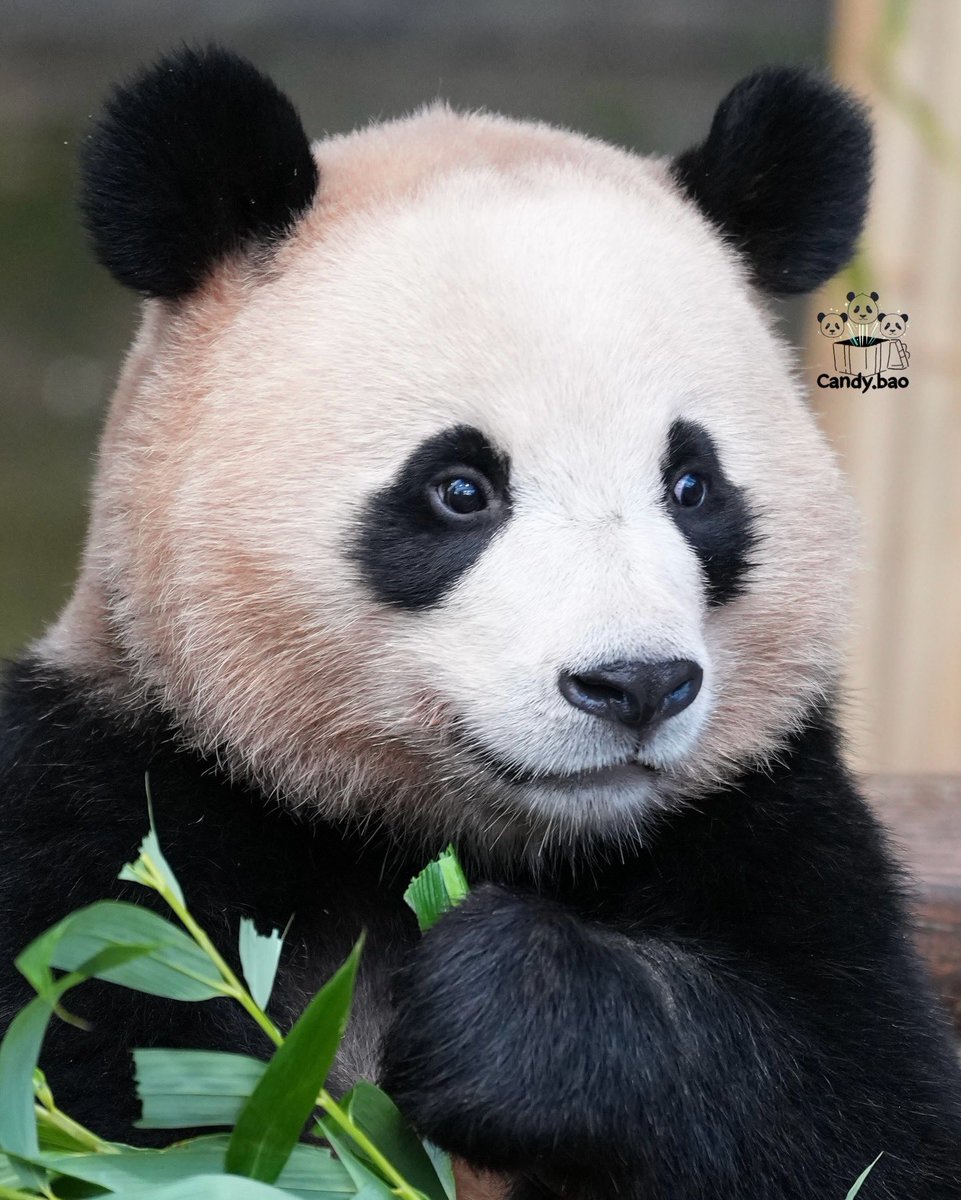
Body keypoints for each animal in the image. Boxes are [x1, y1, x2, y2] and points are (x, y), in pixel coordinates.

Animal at [2, 46, 960, 1200]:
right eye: (461, 489)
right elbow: (114, 1101)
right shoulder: (104, 808)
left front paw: (506, 1005)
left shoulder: (773, 823)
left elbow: (859, 1114)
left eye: (692, 485)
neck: (433, 836)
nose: (635, 684)